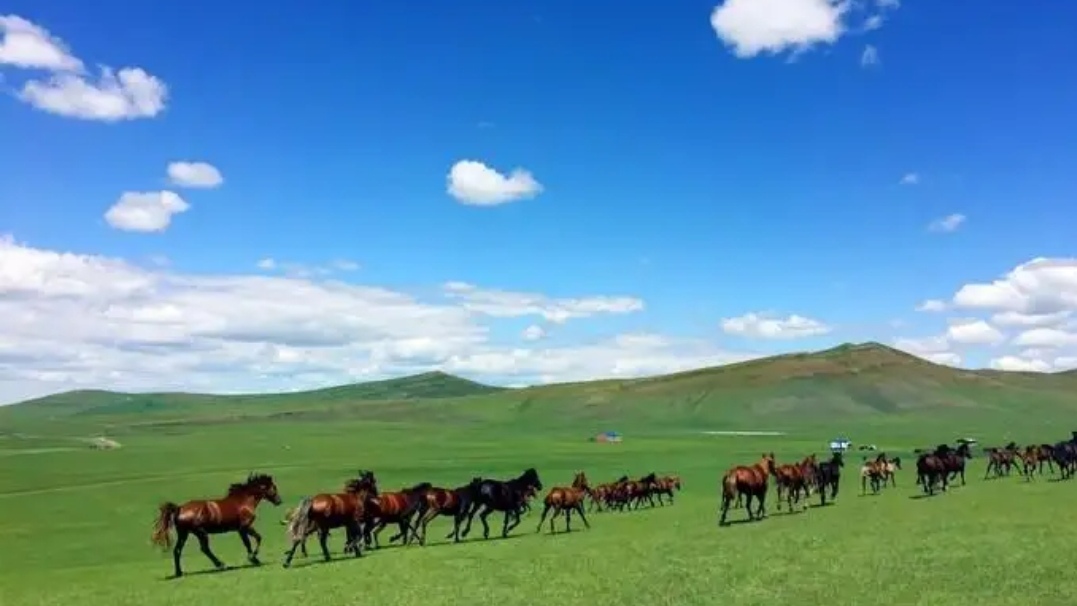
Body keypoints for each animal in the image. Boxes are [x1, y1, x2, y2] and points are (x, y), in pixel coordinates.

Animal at [154, 471, 286, 576]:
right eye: (274, 487)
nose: (279, 501)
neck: (244, 501)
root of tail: (179, 508)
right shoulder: (244, 527)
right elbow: (254, 540)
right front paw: (253, 558)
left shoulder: (240, 530)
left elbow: (251, 541)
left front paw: (254, 559)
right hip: (201, 532)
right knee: (204, 549)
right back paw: (221, 564)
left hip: (184, 534)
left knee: (177, 550)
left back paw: (179, 572)